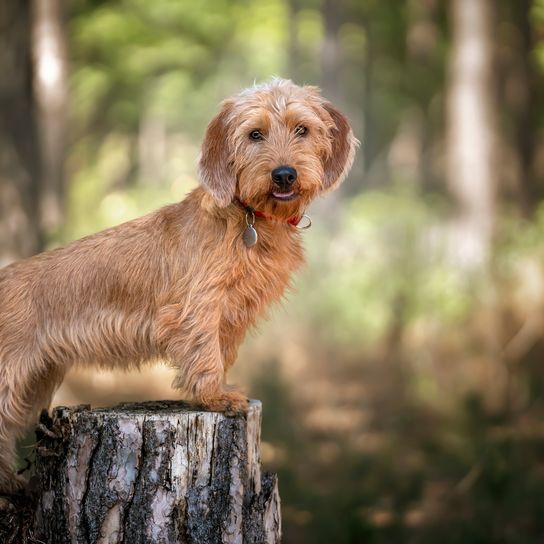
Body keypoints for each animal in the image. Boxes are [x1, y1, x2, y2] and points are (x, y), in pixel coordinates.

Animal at [0, 77, 356, 492]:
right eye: (255, 134)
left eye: (302, 129)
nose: (284, 174)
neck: (248, 217)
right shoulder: (199, 306)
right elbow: (205, 351)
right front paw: (214, 396)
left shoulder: (232, 315)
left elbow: (222, 351)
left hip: (36, 381)